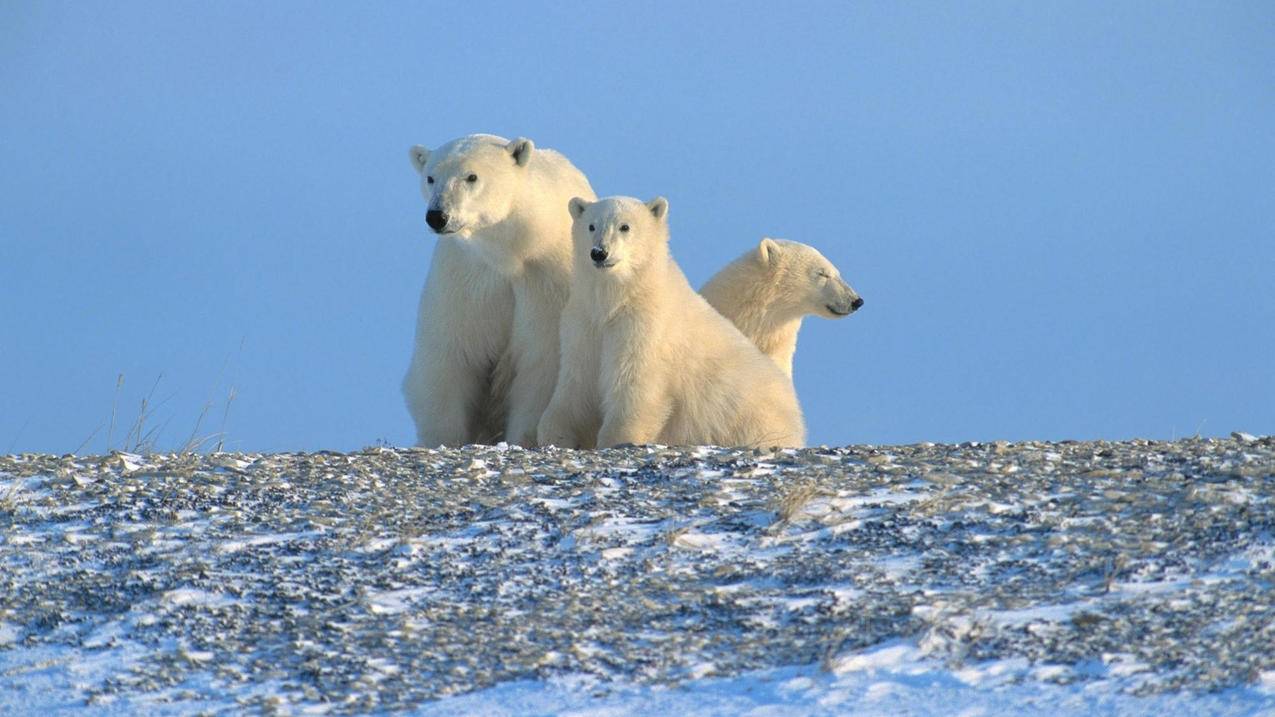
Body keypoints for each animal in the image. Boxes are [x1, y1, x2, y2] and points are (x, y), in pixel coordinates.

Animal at [402, 132, 591, 443]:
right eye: (430, 177)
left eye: (471, 176)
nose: (437, 216)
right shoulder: (466, 278)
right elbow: (451, 356)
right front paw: (444, 438)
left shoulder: (546, 281)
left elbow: (540, 362)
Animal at [538, 192, 805, 443]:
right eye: (591, 226)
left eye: (625, 226)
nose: (599, 253)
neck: (618, 300)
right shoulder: (585, 323)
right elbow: (577, 383)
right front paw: (555, 433)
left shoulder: (644, 328)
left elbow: (634, 385)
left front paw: (617, 436)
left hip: (750, 418)